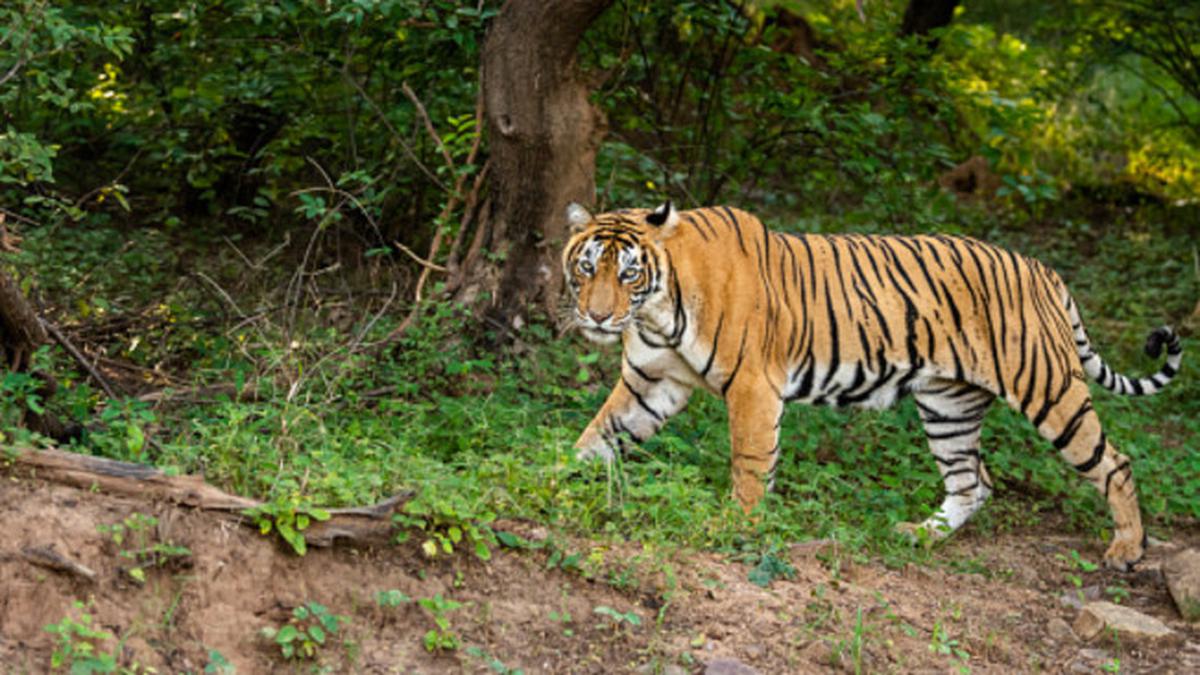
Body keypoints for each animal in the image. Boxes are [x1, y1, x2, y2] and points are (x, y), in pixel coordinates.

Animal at [561, 198, 1180, 566]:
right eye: (587, 267)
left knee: (1115, 463)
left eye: (629, 273)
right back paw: (920, 535)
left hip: (1048, 390)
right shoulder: (650, 383)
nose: (596, 317)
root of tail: (1045, 271)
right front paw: (553, 482)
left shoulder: (754, 388)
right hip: (948, 405)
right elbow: (596, 439)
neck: (656, 312)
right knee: (973, 481)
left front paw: (736, 526)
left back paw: (1128, 549)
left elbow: (749, 465)